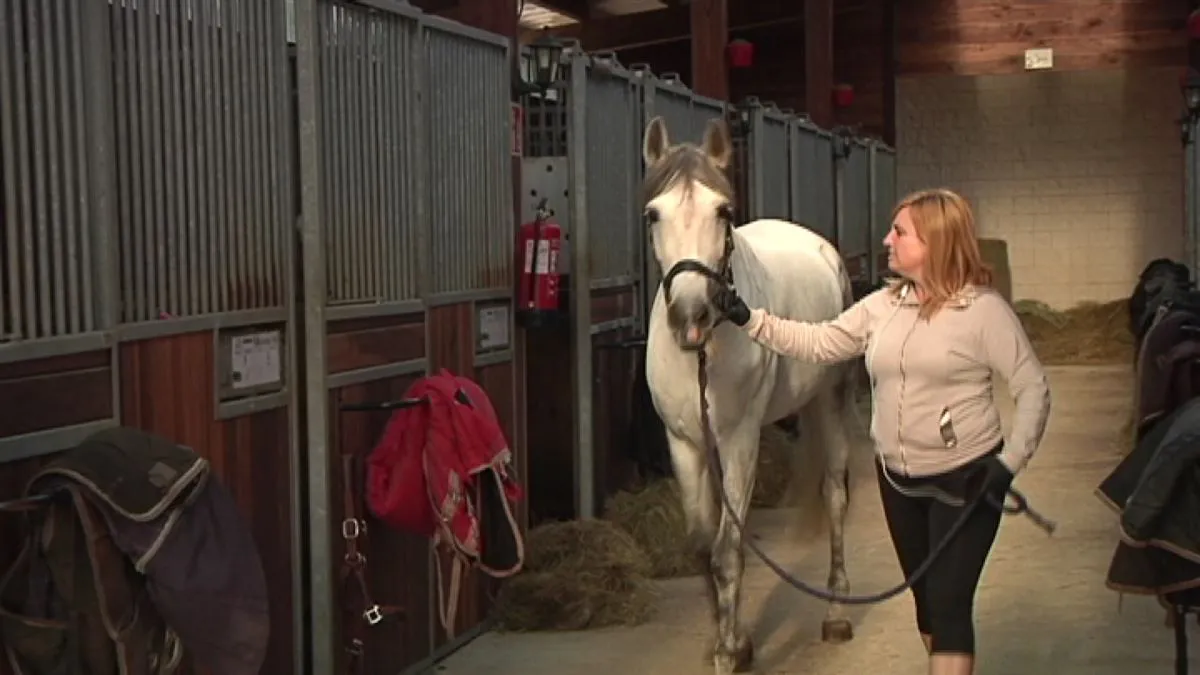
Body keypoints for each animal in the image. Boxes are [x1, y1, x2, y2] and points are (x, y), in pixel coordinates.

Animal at [643, 115, 868, 672]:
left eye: (723, 211)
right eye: (653, 214)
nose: (691, 317)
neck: (701, 357)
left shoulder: (740, 440)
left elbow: (728, 551)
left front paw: (729, 652)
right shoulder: (685, 444)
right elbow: (703, 548)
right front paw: (730, 639)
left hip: (831, 401)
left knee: (835, 495)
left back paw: (836, 614)